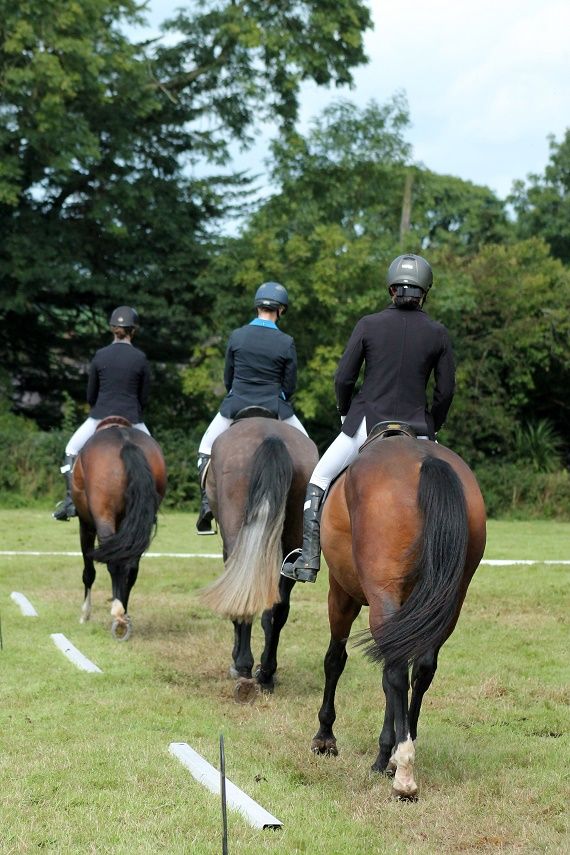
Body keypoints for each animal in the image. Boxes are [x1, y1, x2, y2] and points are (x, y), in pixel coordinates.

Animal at [70, 418, 166, 640]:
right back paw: (123, 615)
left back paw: (118, 614)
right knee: (131, 566)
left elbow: (88, 571)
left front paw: (85, 614)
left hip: (103, 517)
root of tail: (126, 442)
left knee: (113, 563)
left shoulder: (86, 525)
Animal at [197, 412, 318, 704]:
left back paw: (243, 668)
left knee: (244, 598)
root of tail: (270, 435)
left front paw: (237, 662)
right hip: (291, 546)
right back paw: (266, 674)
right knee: (278, 608)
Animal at [310, 432, 484, 800]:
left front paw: (325, 737)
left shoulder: (342, 593)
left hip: (380, 594)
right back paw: (397, 757)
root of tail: (426, 460)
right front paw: (382, 751)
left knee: (396, 670)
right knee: (421, 669)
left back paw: (403, 773)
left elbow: (335, 660)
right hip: (448, 602)